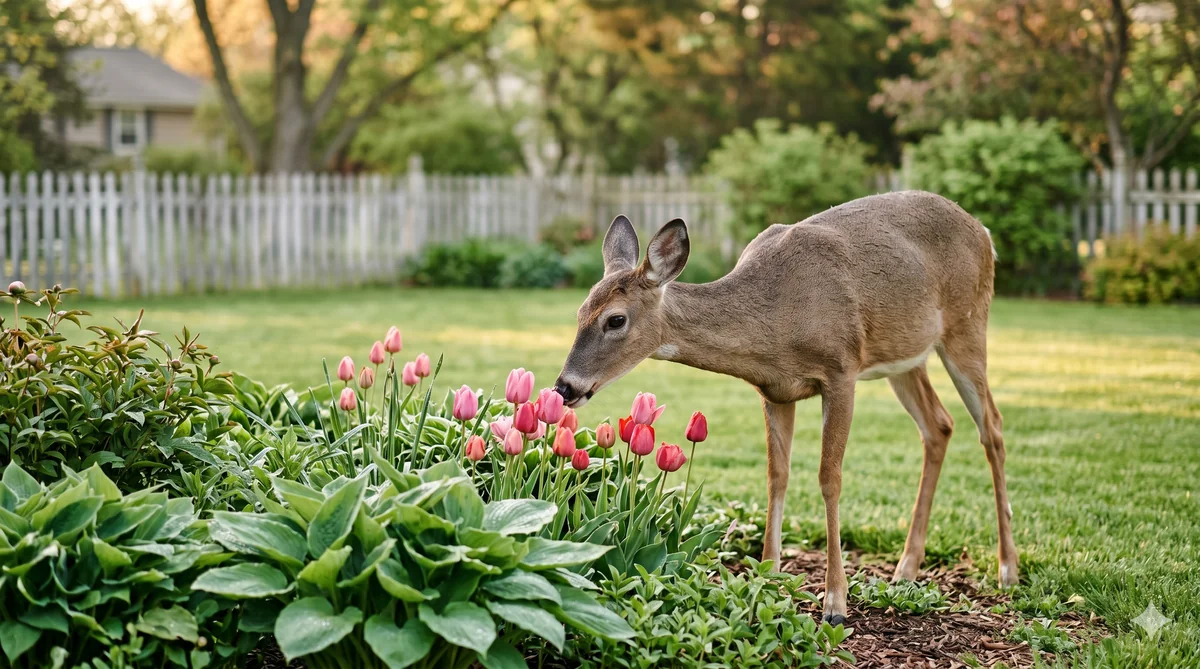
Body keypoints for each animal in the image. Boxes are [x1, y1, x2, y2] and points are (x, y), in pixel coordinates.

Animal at [552, 191, 1018, 625]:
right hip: (905, 356)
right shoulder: (774, 392)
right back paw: (906, 568)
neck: (775, 323)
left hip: (967, 323)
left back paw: (1007, 569)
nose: (564, 387)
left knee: (992, 427)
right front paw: (768, 575)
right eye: (578, 312)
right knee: (939, 425)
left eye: (616, 319)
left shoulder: (842, 371)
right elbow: (777, 475)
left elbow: (829, 477)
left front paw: (835, 603)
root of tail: (983, 232)